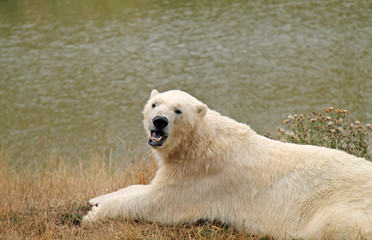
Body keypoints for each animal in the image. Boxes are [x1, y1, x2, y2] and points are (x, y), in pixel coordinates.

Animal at [84, 89, 372, 238]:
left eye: (178, 110)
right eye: (155, 104)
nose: (159, 121)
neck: (200, 142)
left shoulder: (201, 177)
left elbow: (155, 203)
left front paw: (92, 214)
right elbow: (141, 188)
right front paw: (96, 198)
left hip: (338, 210)